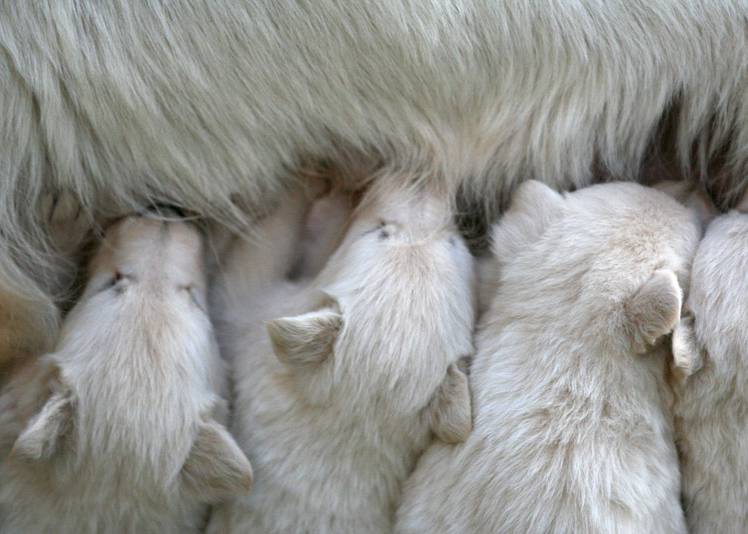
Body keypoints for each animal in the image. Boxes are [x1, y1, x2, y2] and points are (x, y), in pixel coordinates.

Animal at [206, 181, 474, 534]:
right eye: (382, 231)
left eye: (452, 241)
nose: (427, 183)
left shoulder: (251, 324)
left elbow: (253, 261)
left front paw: (301, 194)